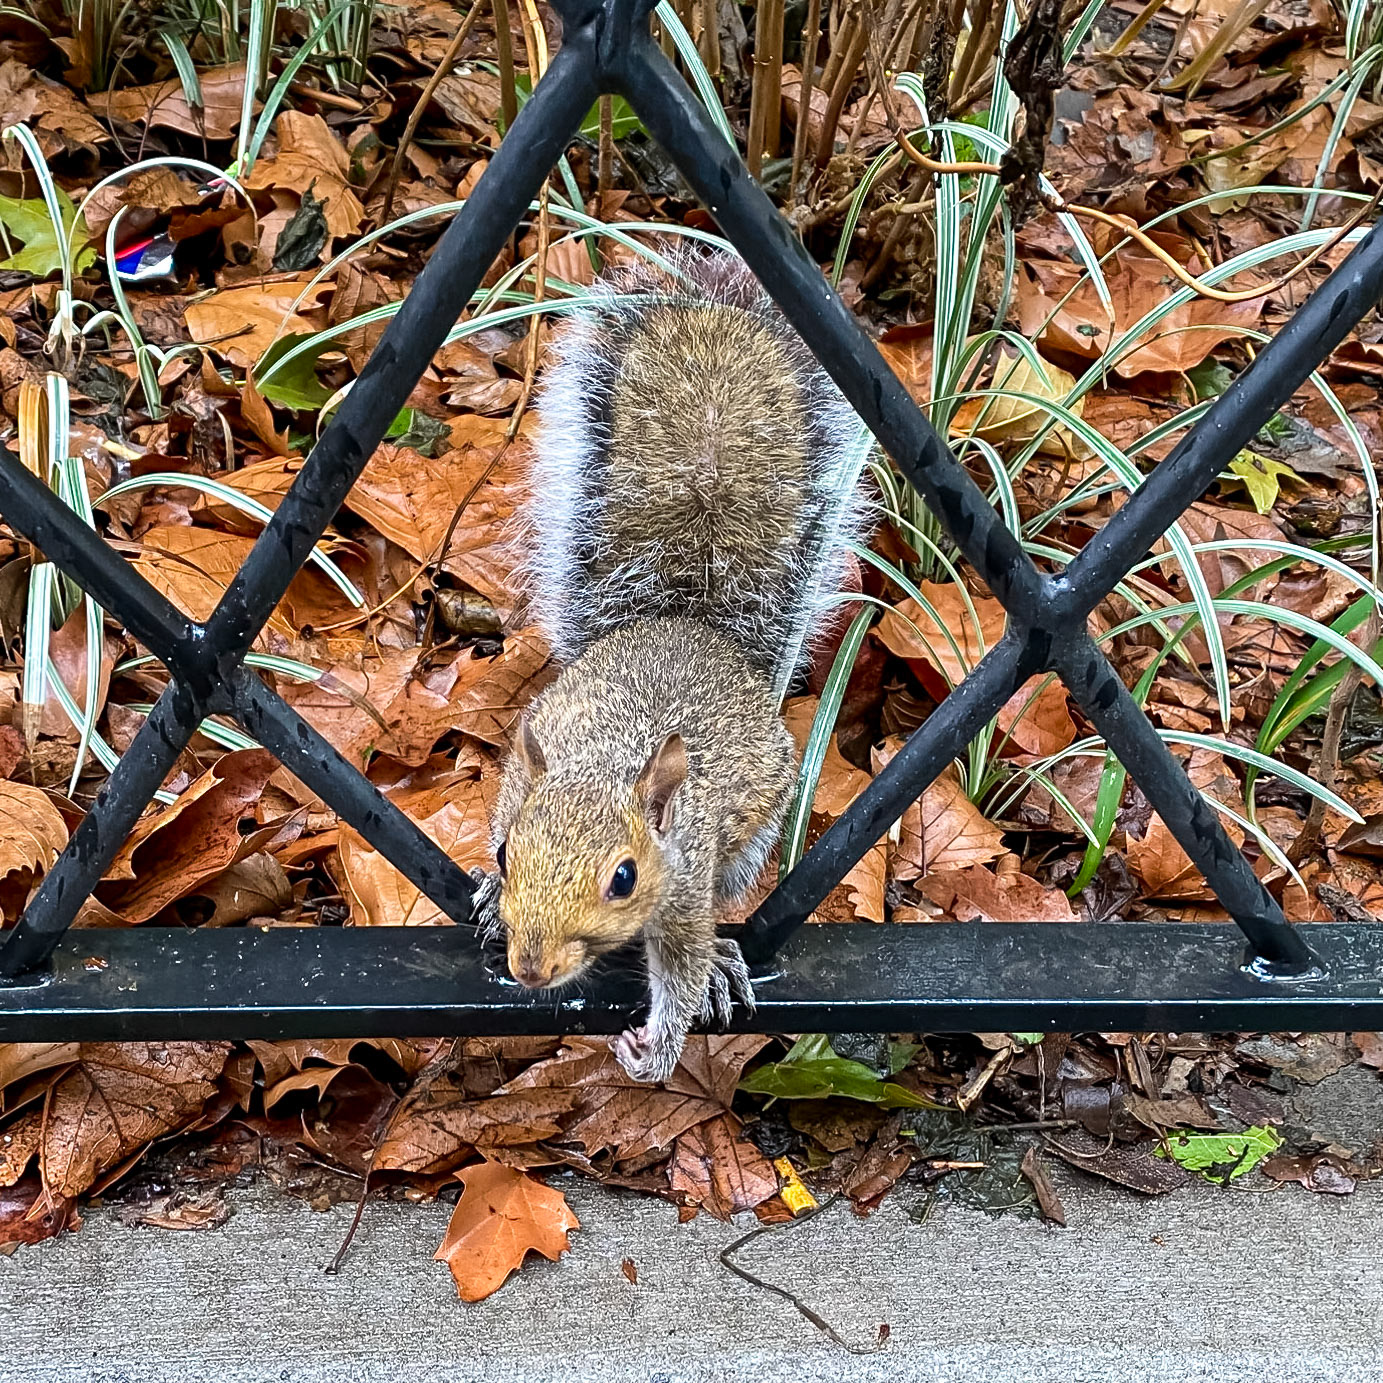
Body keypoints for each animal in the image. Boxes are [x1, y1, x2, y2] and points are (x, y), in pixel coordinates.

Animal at [479, 250, 868, 1084]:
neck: (607, 761)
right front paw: (486, 892)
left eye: (624, 876)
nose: (530, 966)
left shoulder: (687, 874)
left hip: (750, 837)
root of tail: (687, 623)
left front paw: (658, 1043)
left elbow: (683, 959)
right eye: (504, 851)